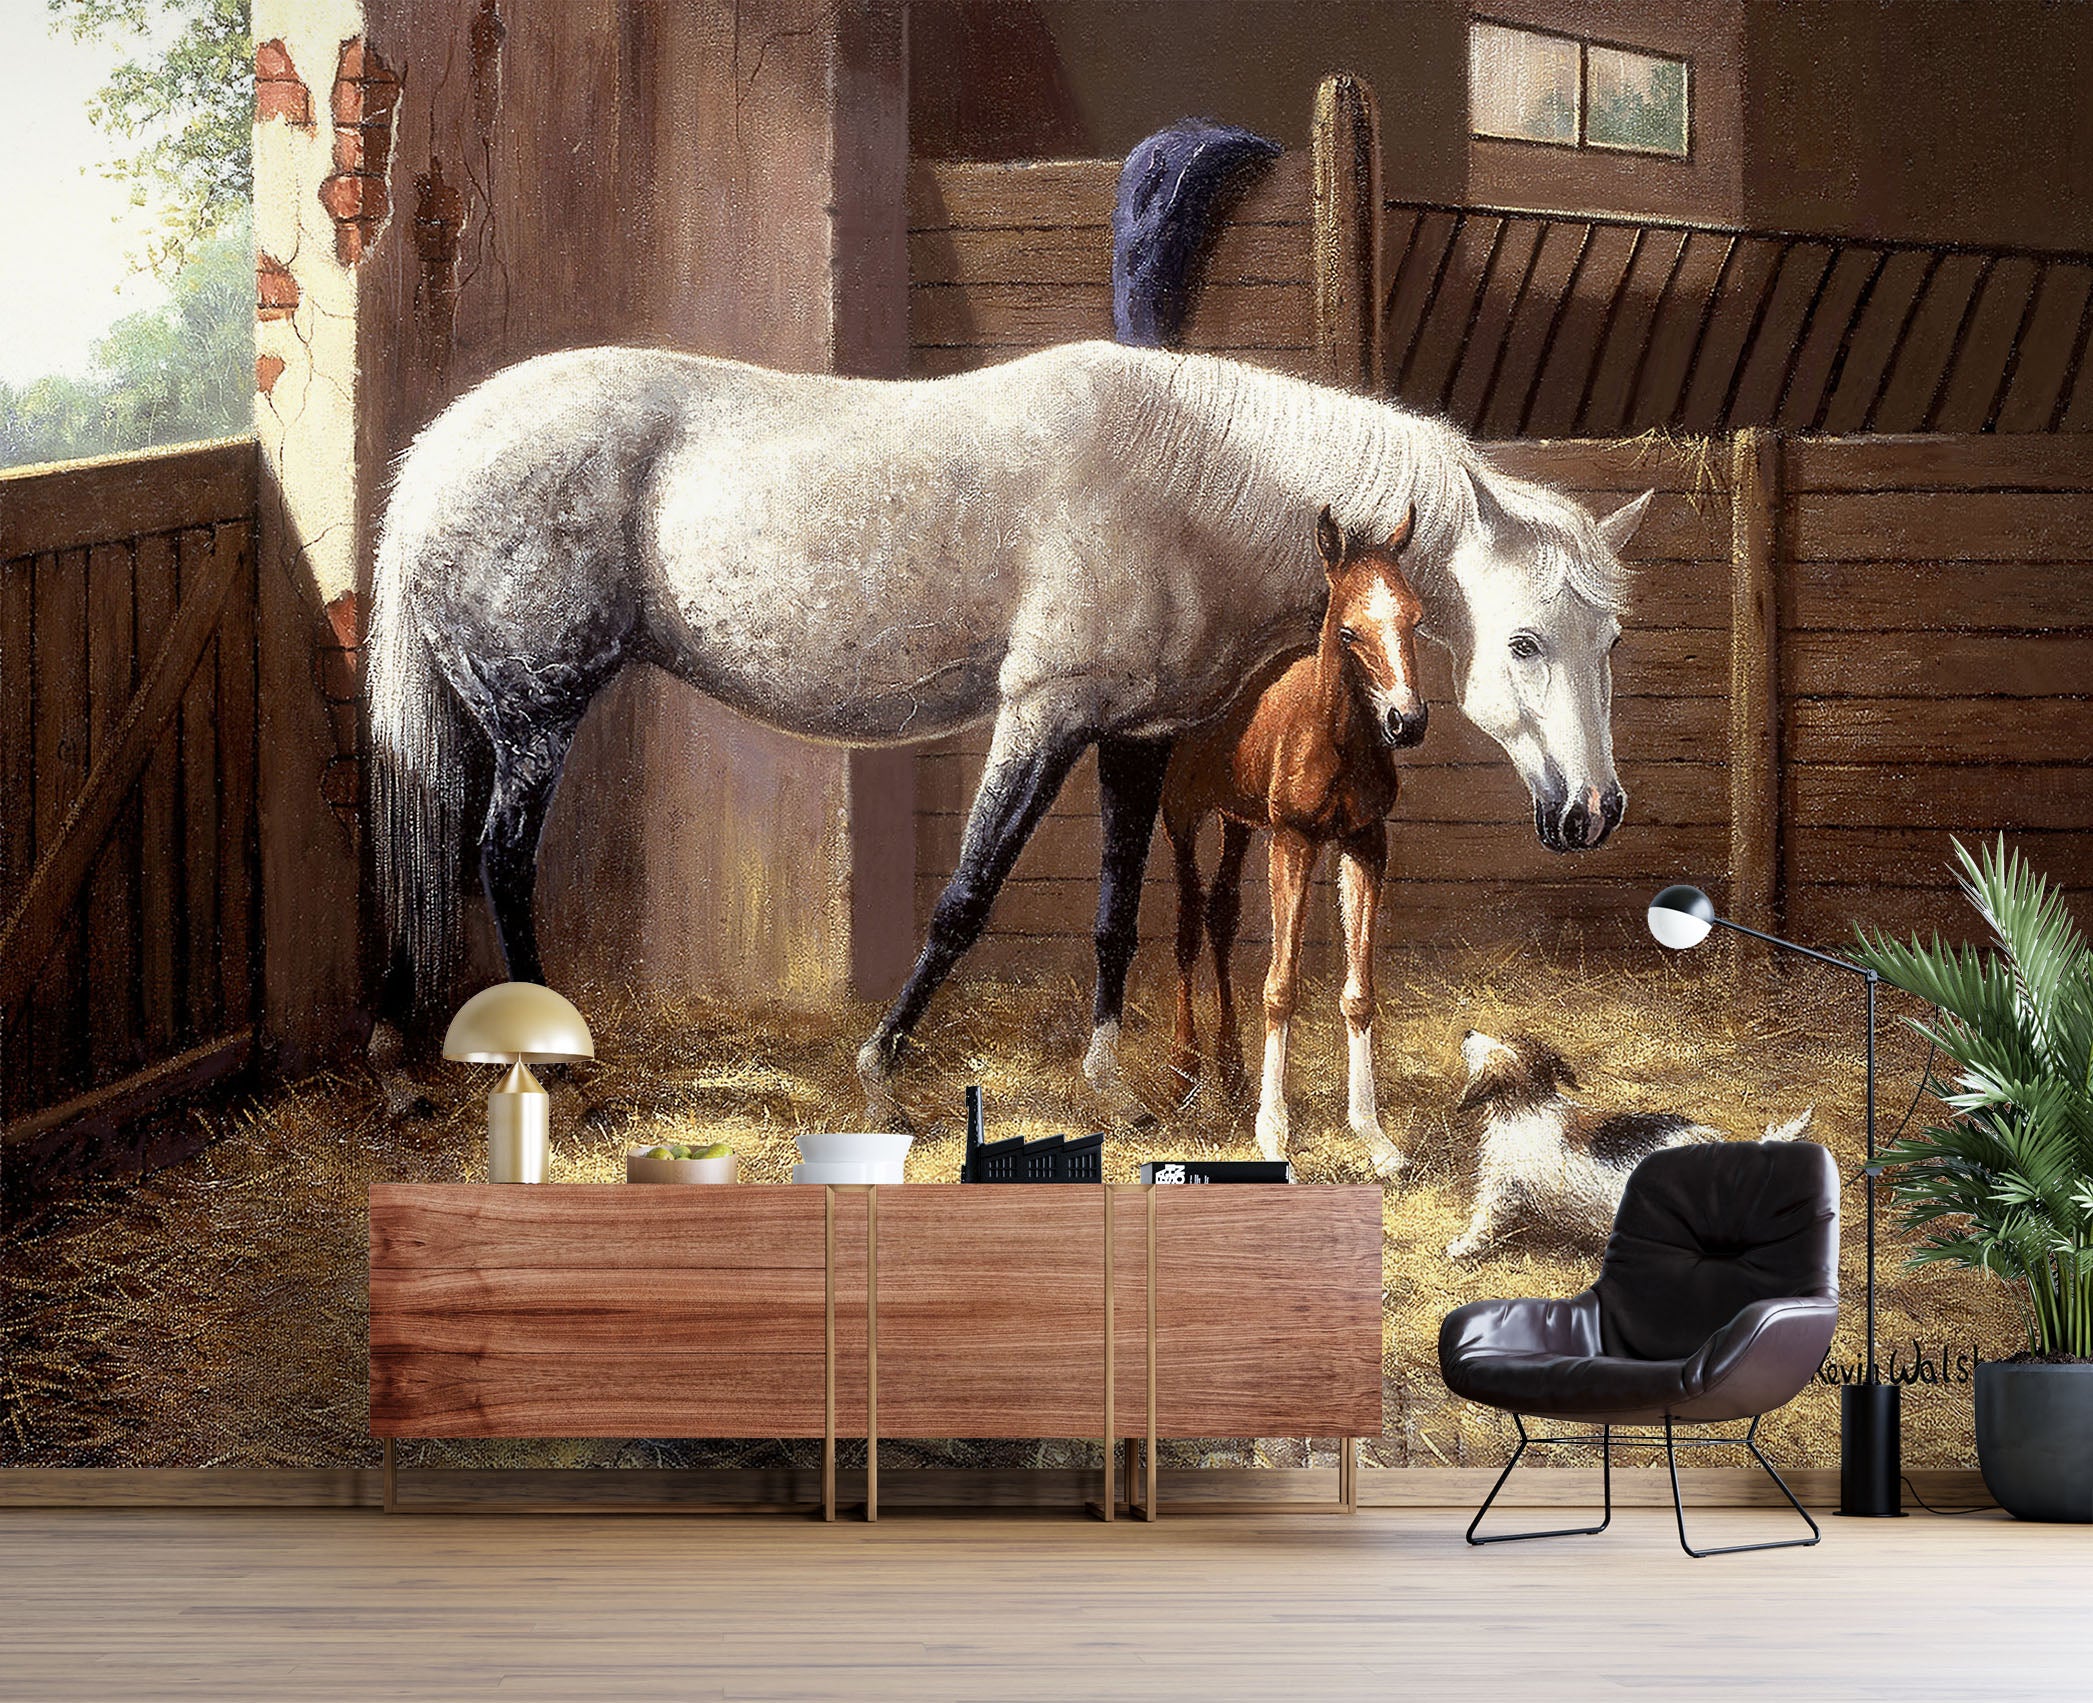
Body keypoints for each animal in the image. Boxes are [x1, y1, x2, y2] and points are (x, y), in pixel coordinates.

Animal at [1160, 505, 1425, 1175]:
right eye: (1349, 632)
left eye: (1415, 619)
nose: (1407, 722)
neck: (1336, 738)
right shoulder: (1294, 839)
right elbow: (1280, 985)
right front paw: (1273, 1131)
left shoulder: (1365, 842)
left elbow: (1359, 992)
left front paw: (1374, 1136)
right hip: (1182, 816)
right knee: (1187, 923)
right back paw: (1184, 1073)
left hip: (1238, 823)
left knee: (1222, 917)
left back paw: (1230, 1073)